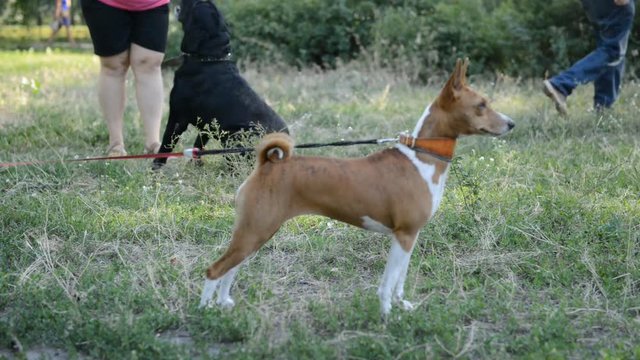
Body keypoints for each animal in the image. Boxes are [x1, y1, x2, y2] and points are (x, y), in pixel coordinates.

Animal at [152, 0, 288, 169]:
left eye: (197, 5)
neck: (210, 58)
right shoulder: (205, 126)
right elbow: (198, 146)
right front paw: (195, 166)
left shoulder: (178, 117)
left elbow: (165, 145)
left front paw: (154, 169)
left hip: (235, 136)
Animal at [199, 57, 516, 314]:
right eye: (481, 105)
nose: (511, 124)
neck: (421, 159)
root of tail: (267, 164)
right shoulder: (404, 234)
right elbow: (388, 283)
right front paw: (387, 315)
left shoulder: (410, 236)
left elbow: (399, 280)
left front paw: (402, 306)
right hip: (256, 229)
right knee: (214, 270)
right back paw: (205, 312)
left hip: (258, 232)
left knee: (232, 269)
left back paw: (224, 303)